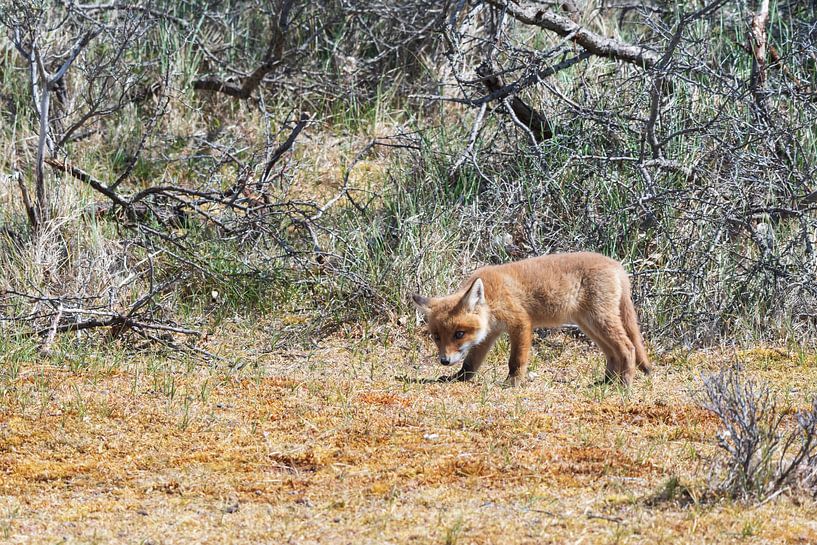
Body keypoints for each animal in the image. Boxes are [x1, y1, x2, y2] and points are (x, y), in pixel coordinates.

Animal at [412, 252, 652, 386]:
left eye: (459, 334)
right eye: (436, 337)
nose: (444, 361)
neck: (492, 296)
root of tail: (617, 265)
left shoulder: (521, 323)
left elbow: (516, 360)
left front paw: (513, 383)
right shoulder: (489, 334)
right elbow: (470, 363)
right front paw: (459, 379)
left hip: (600, 321)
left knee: (628, 347)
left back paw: (624, 384)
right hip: (590, 325)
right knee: (612, 353)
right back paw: (606, 382)